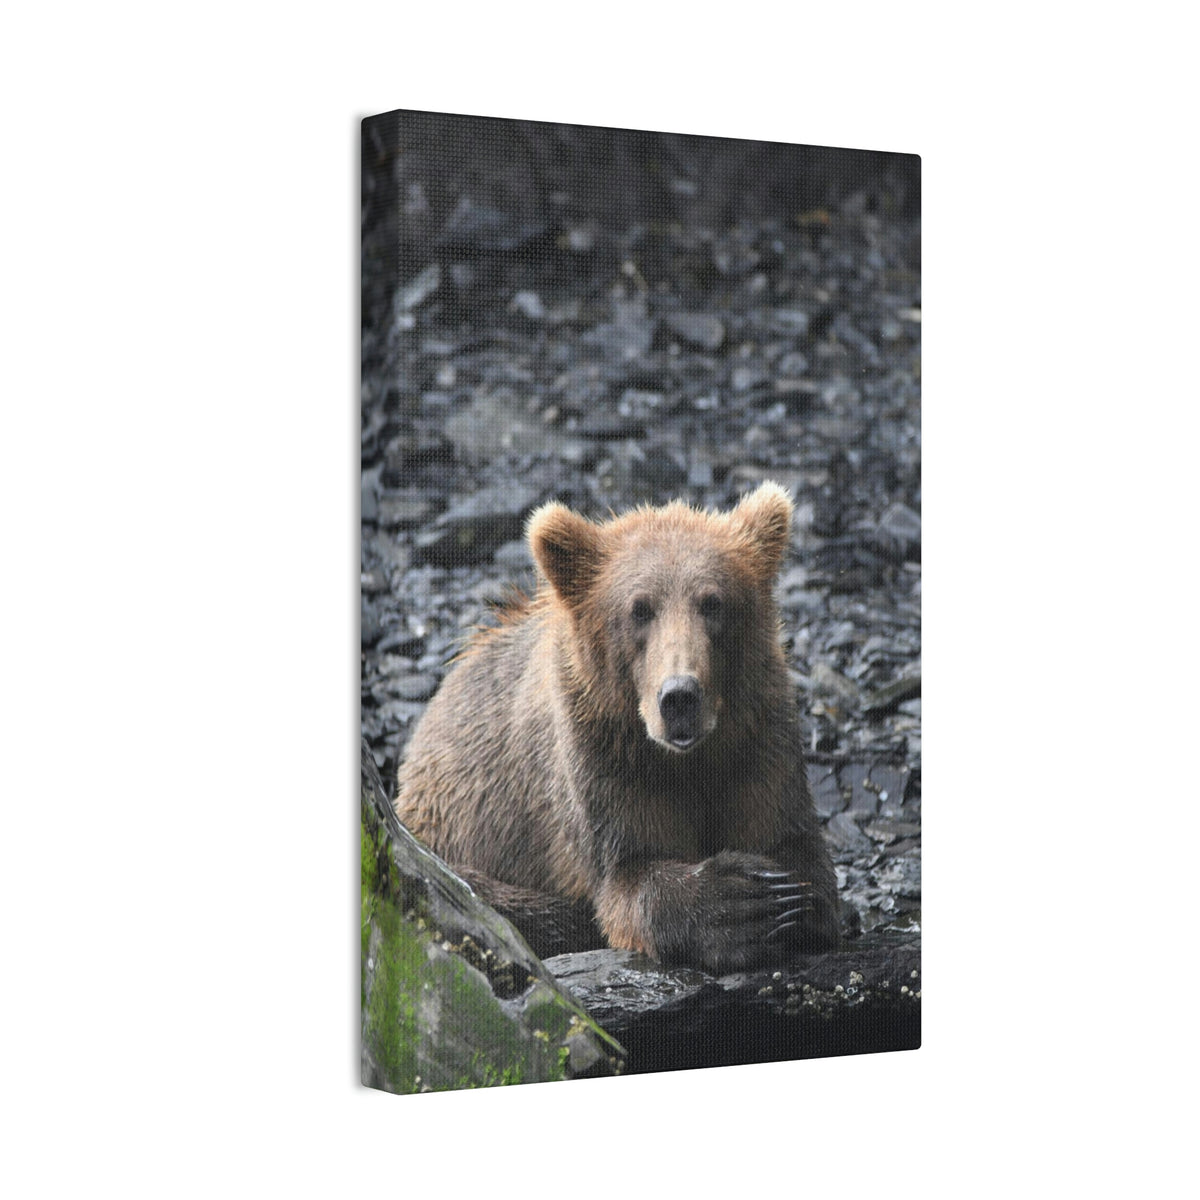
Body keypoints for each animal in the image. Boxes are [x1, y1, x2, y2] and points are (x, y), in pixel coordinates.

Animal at [394, 482, 840, 973]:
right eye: (639, 609)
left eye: (713, 602)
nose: (679, 696)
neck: (687, 759)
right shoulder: (603, 758)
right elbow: (629, 874)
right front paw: (742, 902)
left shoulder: (756, 737)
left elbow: (792, 841)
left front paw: (790, 899)